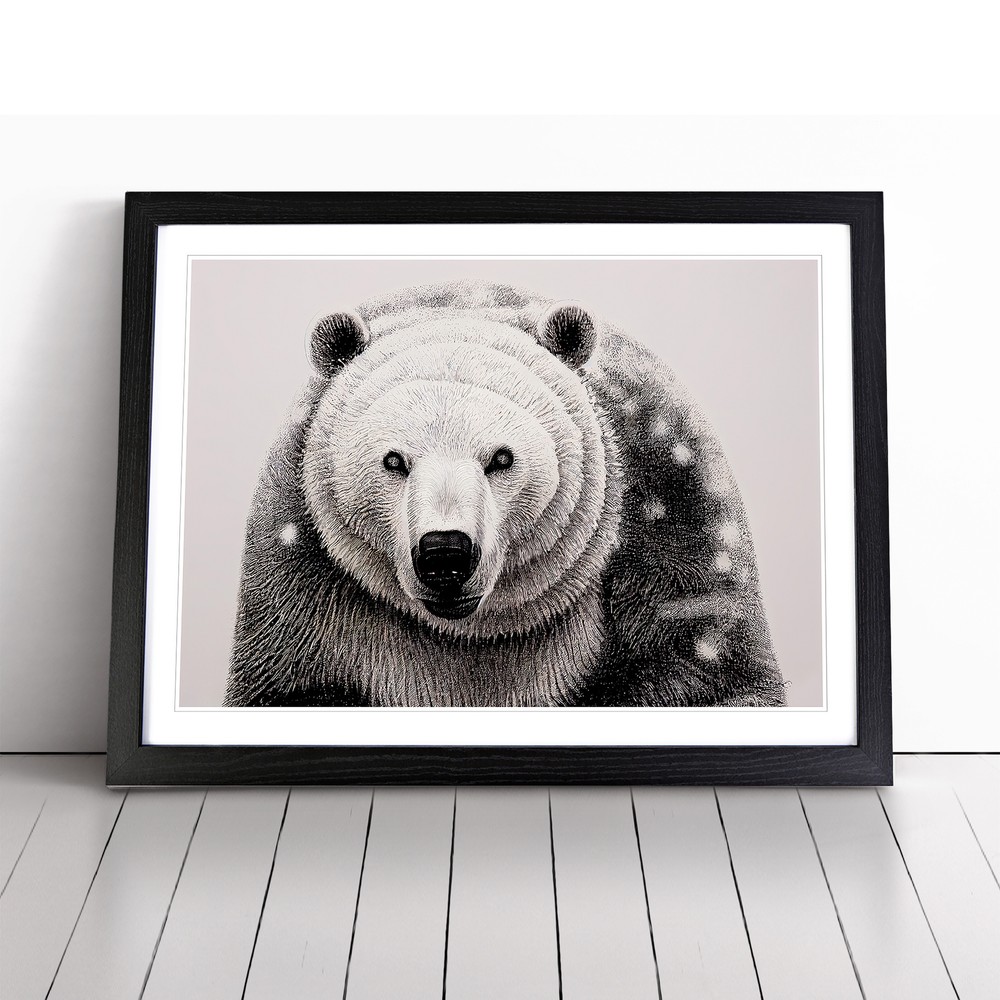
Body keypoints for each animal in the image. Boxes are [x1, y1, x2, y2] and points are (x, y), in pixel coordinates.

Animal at [225, 280, 786, 708]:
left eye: (500, 457)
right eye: (394, 460)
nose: (445, 554)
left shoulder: (666, 496)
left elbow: (712, 672)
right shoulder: (302, 571)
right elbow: (289, 686)